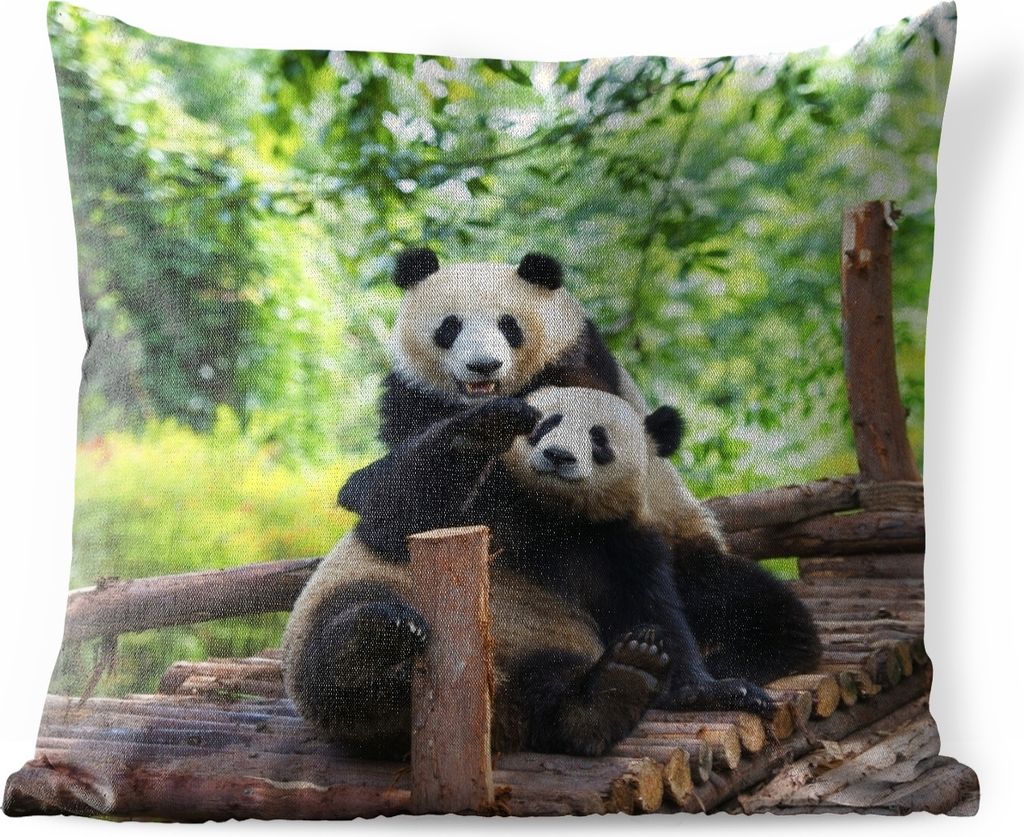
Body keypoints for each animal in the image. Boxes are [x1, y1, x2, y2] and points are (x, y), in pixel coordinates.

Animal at [339, 248, 820, 686]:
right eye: (449, 326)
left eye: (508, 325)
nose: (484, 365)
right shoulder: (412, 398)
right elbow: (400, 502)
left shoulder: (578, 366)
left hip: (686, 543)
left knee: (747, 600)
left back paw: (743, 658)